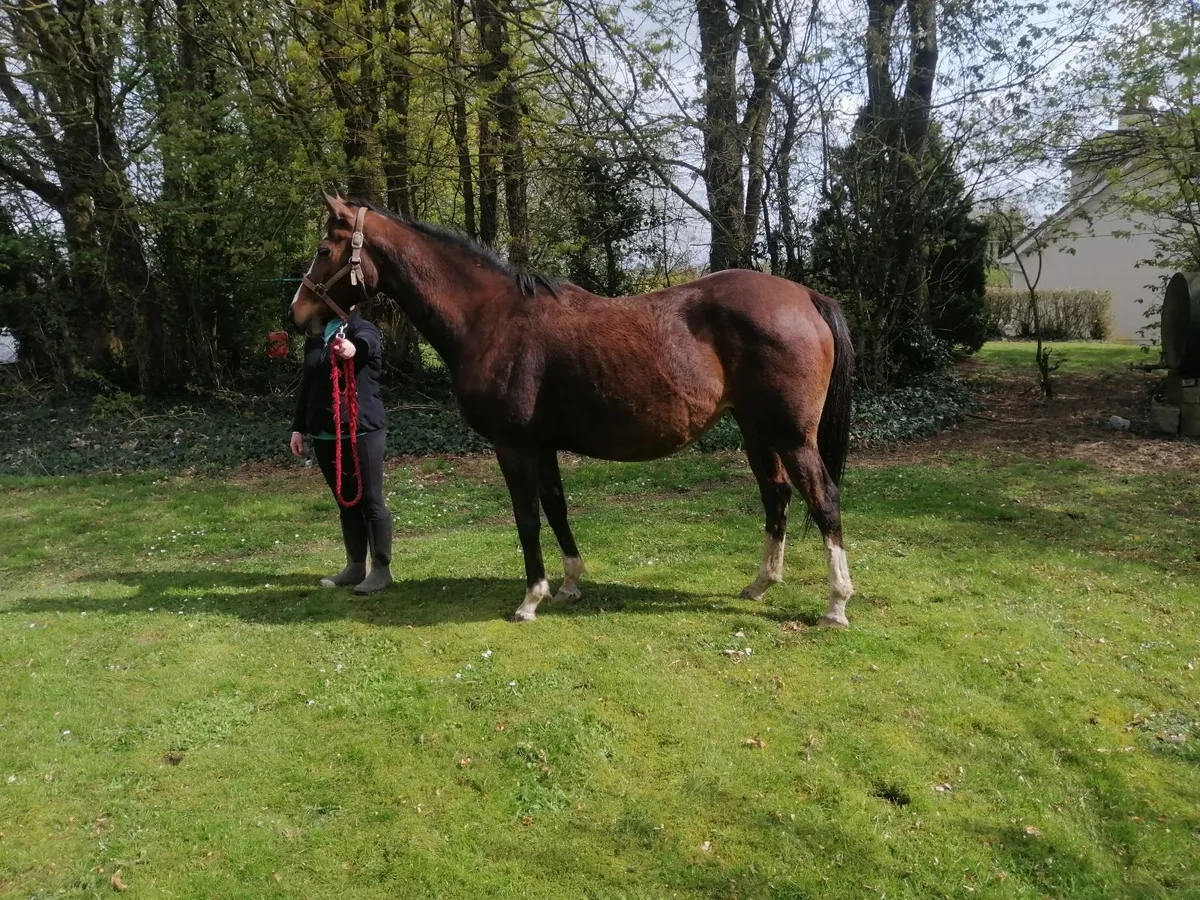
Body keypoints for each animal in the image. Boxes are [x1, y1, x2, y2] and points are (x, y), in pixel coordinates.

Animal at [291, 194, 856, 627]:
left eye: (324, 248)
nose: (298, 313)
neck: (490, 318)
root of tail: (805, 296)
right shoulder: (542, 447)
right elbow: (557, 508)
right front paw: (568, 584)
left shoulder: (514, 446)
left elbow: (526, 517)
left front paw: (530, 599)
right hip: (757, 430)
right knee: (777, 496)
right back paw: (761, 584)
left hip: (791, 435)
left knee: (824, 500)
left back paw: (835, 605)